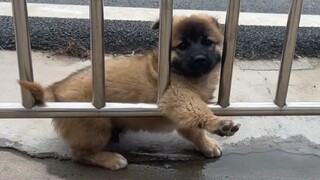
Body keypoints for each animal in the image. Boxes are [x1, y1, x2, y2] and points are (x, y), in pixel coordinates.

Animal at [19, 14, 240, 170]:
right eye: (183, 46)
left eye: (207, 42)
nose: (199, 59)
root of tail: (55, 90)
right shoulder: (176, 97)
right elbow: (198, 112)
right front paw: (219, 123)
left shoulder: (182, 117)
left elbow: (195, 130)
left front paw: (207, 144)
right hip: (95, 127)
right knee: (79, 154)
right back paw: (110, 159)